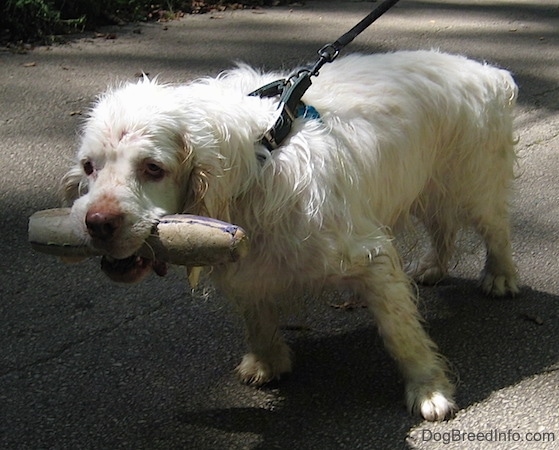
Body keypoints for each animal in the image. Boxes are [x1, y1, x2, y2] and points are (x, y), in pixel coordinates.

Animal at [62, 51, 520, 422]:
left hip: (474, 184)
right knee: (442, 227)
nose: (97, 223)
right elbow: (257, 317)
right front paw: (268, 362)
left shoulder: (370, 257)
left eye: (153, 168)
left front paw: (429, 389)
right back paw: (433, 267)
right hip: (429, 183)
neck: (259, 159)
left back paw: (500, 276)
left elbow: (401, 333)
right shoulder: (246, 264)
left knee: (496, 230)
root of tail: (486, 71)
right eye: (88, 167)